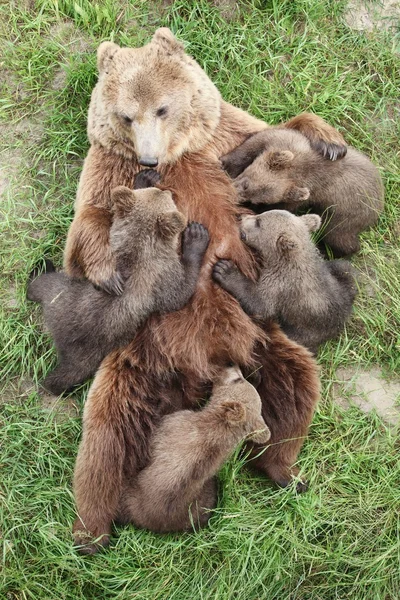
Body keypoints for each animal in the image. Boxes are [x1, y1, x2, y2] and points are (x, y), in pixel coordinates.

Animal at [28, 178, 209, 398]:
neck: (138, 244)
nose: (166, 189)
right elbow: (179, 293)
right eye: (169, 199)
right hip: (64, 293)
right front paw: (196, 237)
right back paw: (41, 267)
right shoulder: (161, 276)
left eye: (156, 191)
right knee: (40, 284)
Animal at [75, 364, 268, 552]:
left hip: (130, 493)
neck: (218, 427)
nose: (232, 365)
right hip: (201, 502)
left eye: (237, 379)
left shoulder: (173, 426)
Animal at [212, 210, 356, 352]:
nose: (240, 216)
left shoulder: (281, 284)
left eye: (258, 222)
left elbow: (259, 303)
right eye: (261, 214)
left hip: (307, 328)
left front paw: (225, 270)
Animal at [220, 129, 382, 255]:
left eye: (258, 200)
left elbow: (284, 207)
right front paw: (226, 162)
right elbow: (252, 145)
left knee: (339, 237)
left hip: (344, 215)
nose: (233, 196)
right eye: (246, 184)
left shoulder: (306, 195)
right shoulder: (280, 140)